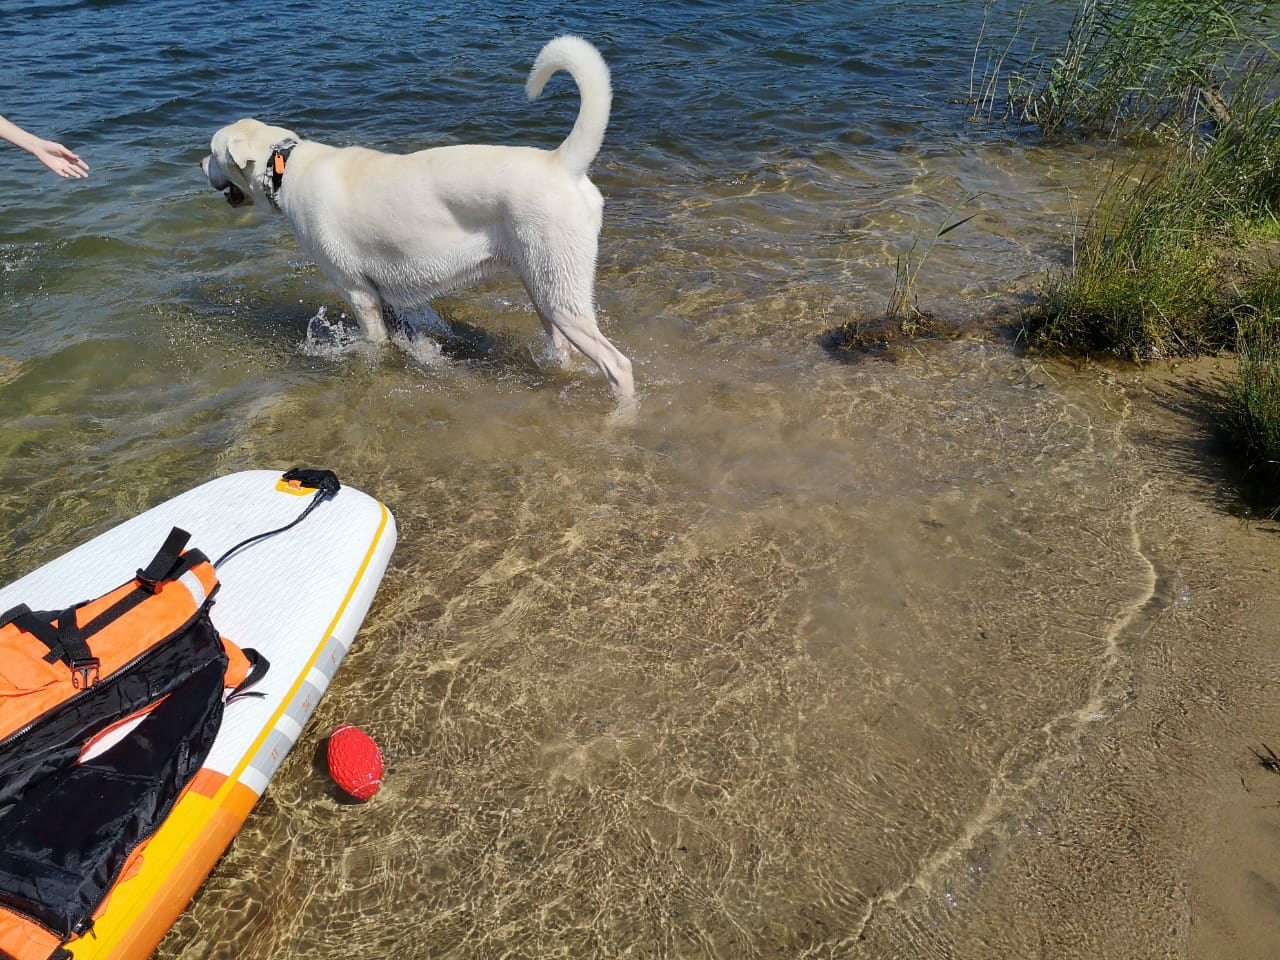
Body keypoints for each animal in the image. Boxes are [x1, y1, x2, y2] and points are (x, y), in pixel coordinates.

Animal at [200, 36, 634, 399]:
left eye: (213, 151)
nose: (199, 163)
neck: (284, 167)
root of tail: (561, 163)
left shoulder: (358, 294)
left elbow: (373, 347)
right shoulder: (383, 297)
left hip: (561, 295)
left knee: (619, 366)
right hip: (542, 287)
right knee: (565, 350)